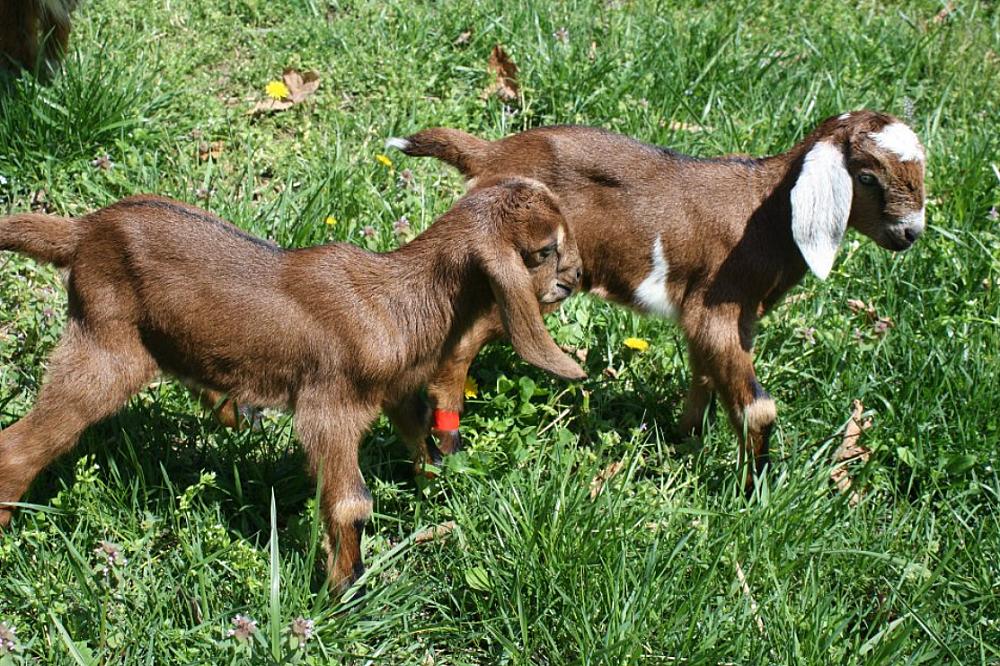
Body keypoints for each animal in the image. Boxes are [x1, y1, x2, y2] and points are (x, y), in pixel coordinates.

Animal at [0, 179, 585, 593]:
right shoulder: (331, 406)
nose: (575, 278)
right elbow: (349, 502)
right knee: (27, 441)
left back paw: (234, 410)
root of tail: (82, 233)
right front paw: (346, 590)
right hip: (105, 348)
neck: (397, 299)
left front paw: (439, 486)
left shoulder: (395, 391)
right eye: (543, 250)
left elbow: (420, 432)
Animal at [387, 110, 926, 491]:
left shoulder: (728, 317)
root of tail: (490, 155)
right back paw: (448, 447)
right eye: (867, 177)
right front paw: (755, 492)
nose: (910, 234)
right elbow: (758, 409)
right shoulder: (718, 308)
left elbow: (704, 374)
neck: (769, 210)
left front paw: (685, 437)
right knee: (463, 343)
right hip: (528, 278)